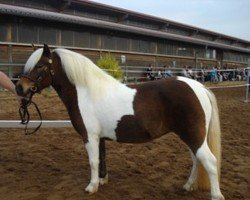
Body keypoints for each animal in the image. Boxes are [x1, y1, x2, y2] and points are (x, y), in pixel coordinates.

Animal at [16, 44, 226, 199]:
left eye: (40, 66)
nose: (20, 88)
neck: (86, 92)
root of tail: (198, 86)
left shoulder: (89, 136)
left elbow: (93, 161)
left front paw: (91, 187)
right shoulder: (99, 137)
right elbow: (101, 159)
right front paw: (102, 181)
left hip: (193, 135)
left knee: (209, 162)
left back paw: (215, 195)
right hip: (191, 136)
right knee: (196, 160)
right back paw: (187, 186)